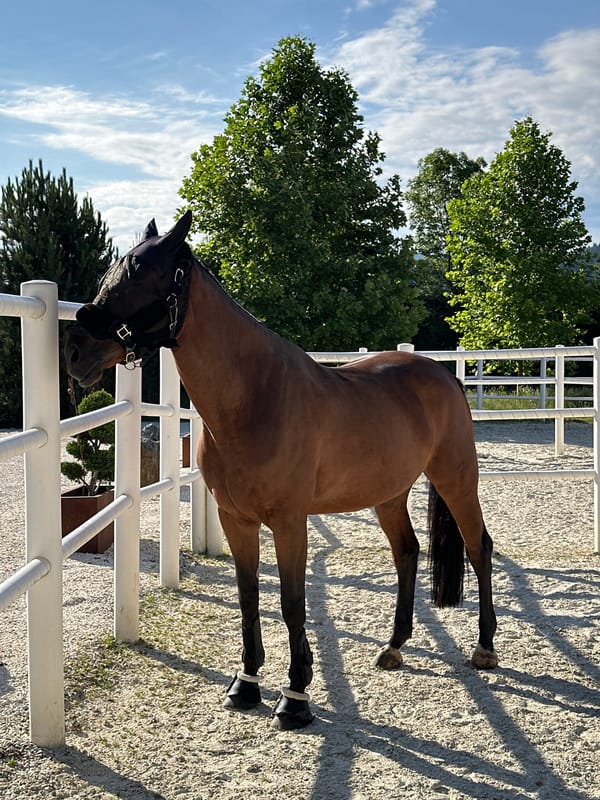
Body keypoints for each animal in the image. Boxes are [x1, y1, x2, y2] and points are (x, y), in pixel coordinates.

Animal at [64, 211, 498, 730]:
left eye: (141, 274)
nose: (76, 351)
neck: (255, 398)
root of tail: (444, 375)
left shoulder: (290, 522)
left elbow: (292, 604)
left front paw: (295, 698)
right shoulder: (237, 520)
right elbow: (249, 595)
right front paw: (246, 685)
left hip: (457, 479)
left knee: (478, 547)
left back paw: (485, 648)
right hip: (389, 495)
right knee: (408, 553)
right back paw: (393, 647)